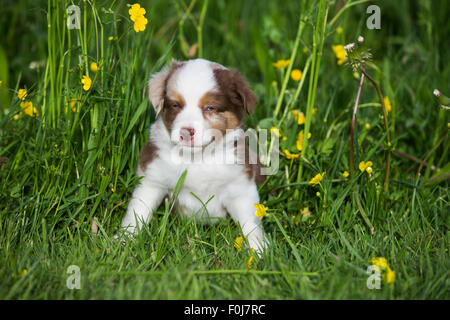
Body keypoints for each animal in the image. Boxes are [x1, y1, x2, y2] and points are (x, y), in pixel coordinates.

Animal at [118, 58, 268, 255]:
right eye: (176, 105)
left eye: (210, 108)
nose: (185, 132)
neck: (197, 157)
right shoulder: (152, 179)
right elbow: (137, 212)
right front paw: (122, 241)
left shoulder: (240, 186)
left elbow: (250, 220)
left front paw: (258, 249)